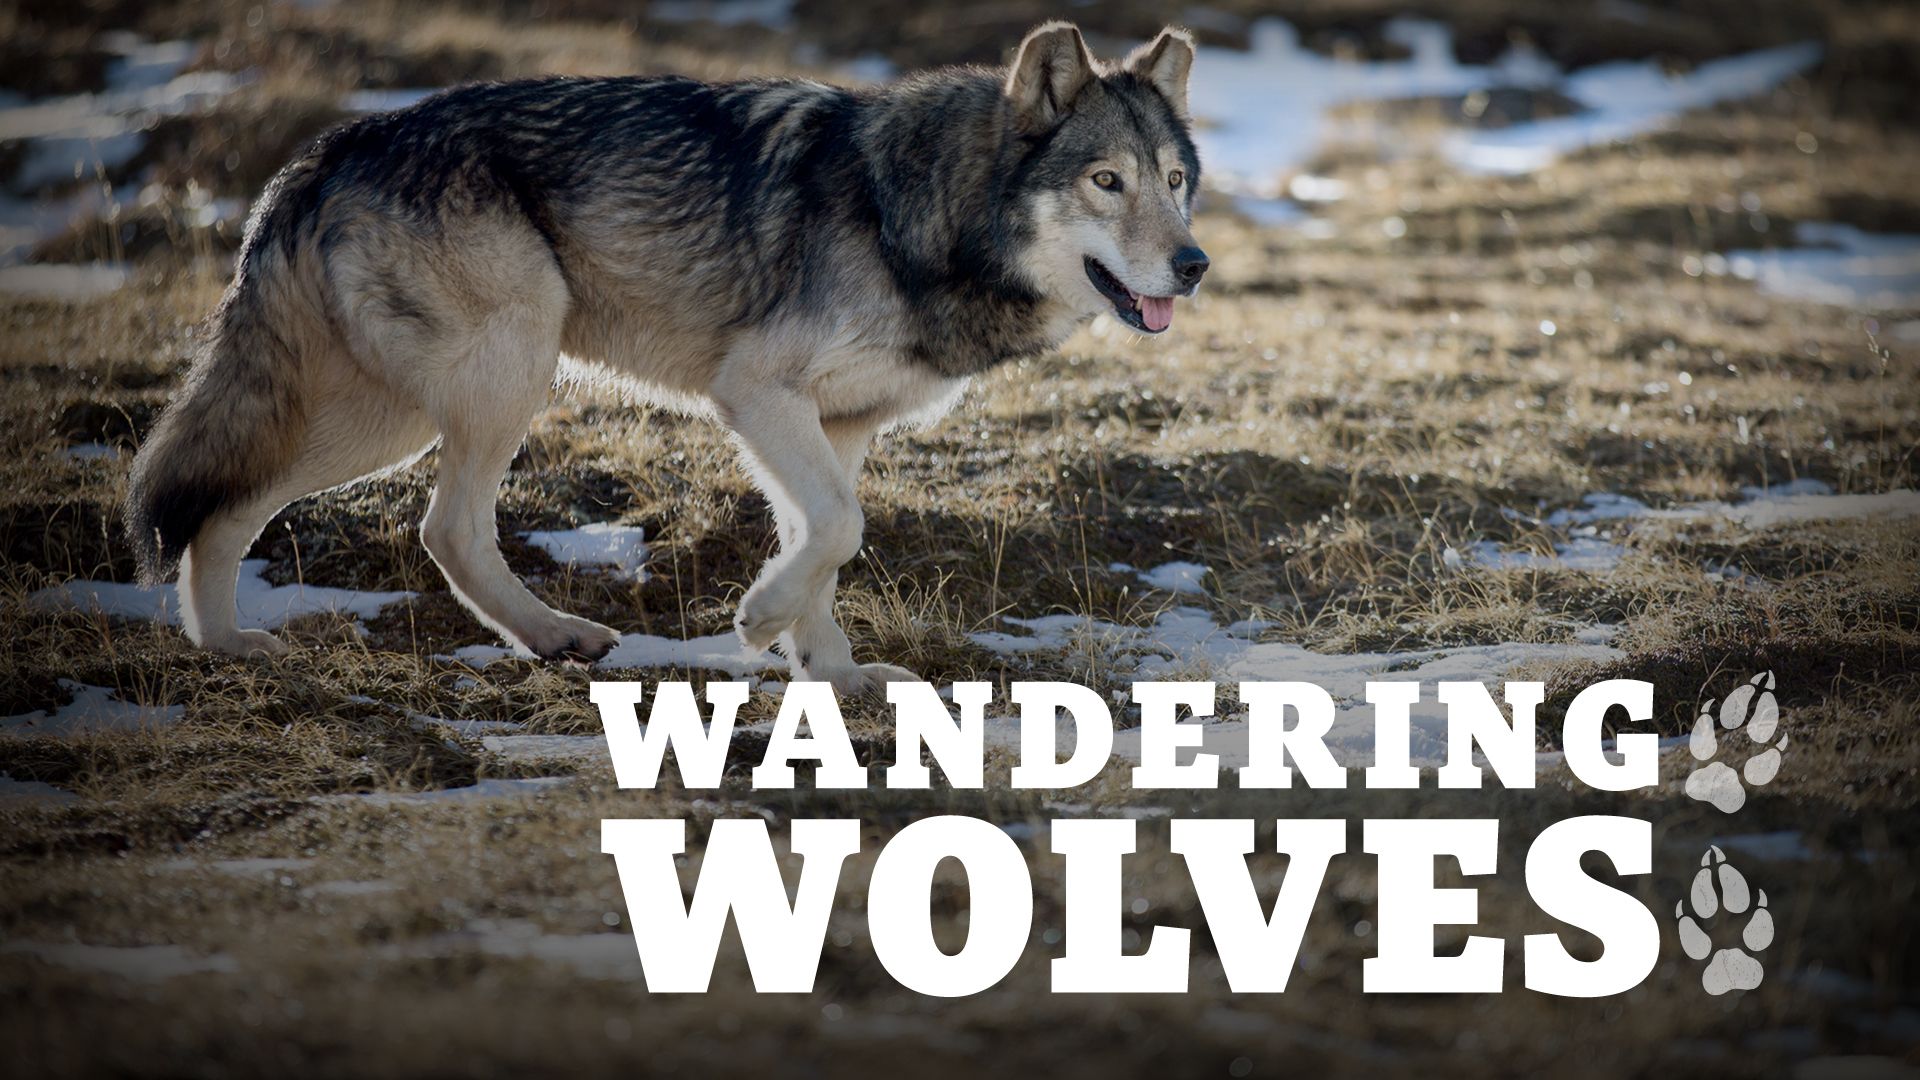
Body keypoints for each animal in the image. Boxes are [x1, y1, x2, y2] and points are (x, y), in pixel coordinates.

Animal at [124, 21, 1208, 694]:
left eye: (1176, 180)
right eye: (1107, 181)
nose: (1195, 264)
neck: (918, 212)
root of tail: (330, 148)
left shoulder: (839, 426)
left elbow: (826, 543)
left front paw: (833, 673)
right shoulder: (755, 394)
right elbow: (838, 529)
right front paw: (760, 620)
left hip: (389, 412)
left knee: (241, 506)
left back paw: (226, 645)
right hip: (489, 379)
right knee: (433, 526)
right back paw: (546, 636)